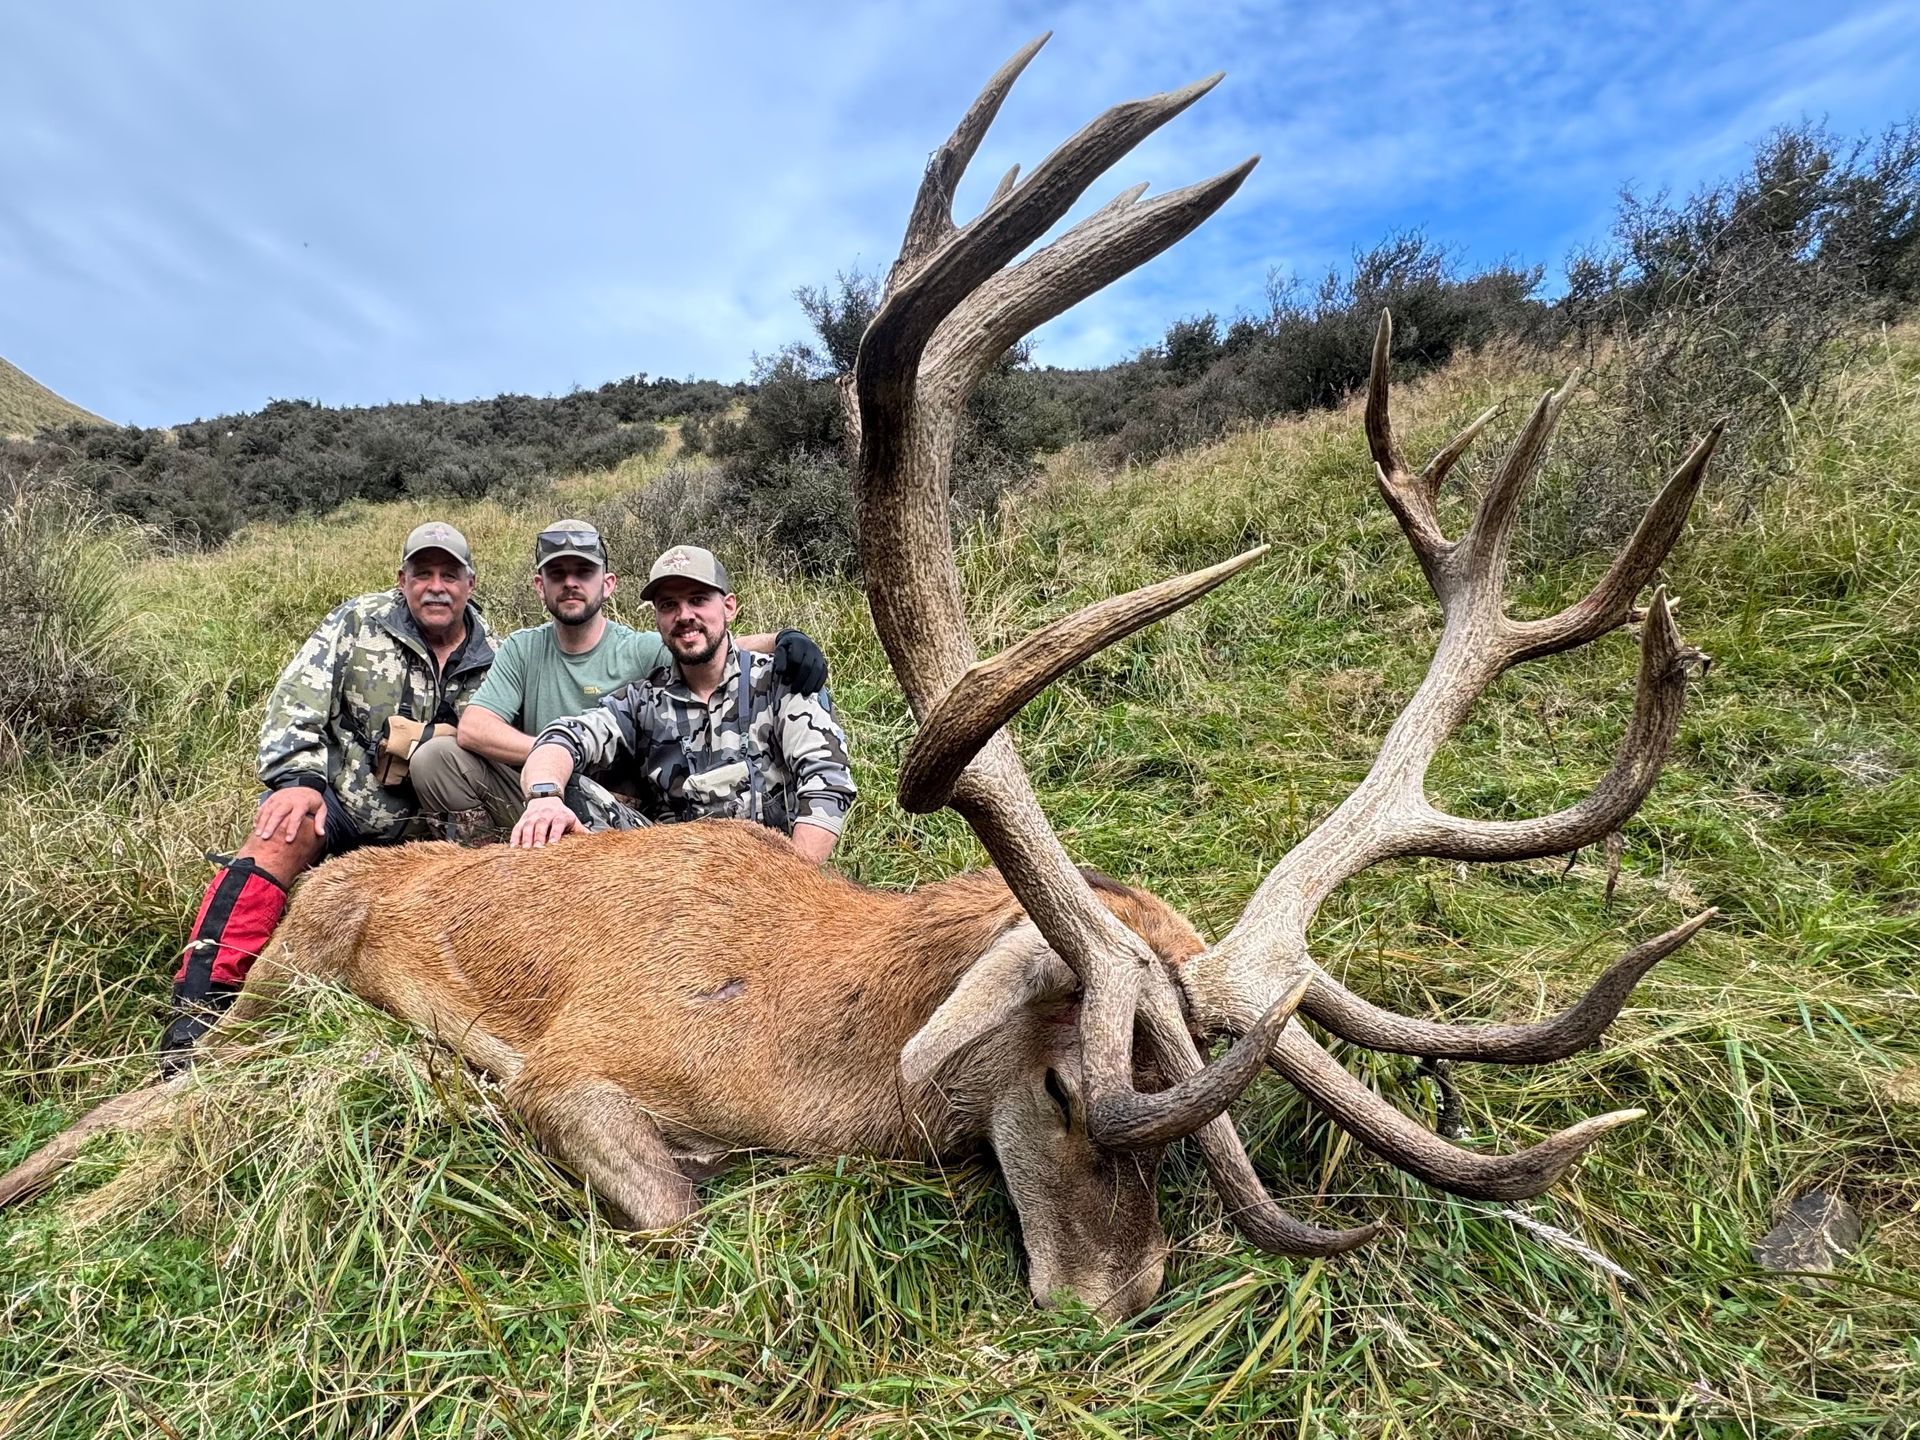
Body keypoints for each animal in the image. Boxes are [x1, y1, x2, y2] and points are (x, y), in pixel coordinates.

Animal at [0, 36, 1721, 1320]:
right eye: (1068, 1090)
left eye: (1207, 1130)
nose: (1118, 1295)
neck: (823, 1053)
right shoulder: (579, 1069)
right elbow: (677, 1211)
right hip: (273, 996)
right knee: (125, 1102)